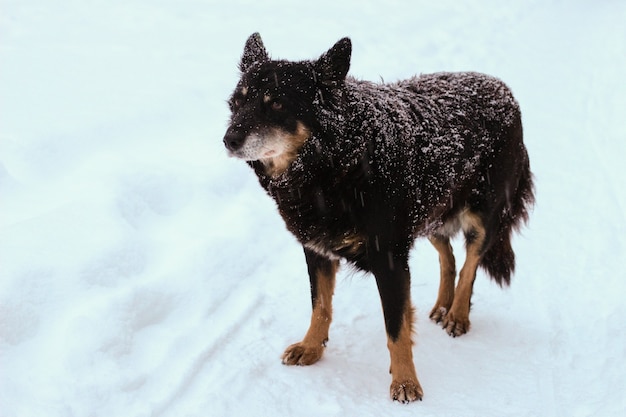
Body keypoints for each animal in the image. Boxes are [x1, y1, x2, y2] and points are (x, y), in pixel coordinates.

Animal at [223, 33, 532, 404]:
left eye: (277, 105)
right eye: (237, 103)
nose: (228, 140)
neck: (336, 165)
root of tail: (503, 89)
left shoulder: (390, 258)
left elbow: (396, 327)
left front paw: (405, 381)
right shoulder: (317, 250)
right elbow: (320, 306)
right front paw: (312, 347)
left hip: (482, 217)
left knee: (470, 264)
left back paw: (458, 313)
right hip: (430, 213)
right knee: (449, 257)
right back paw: (443, 305)